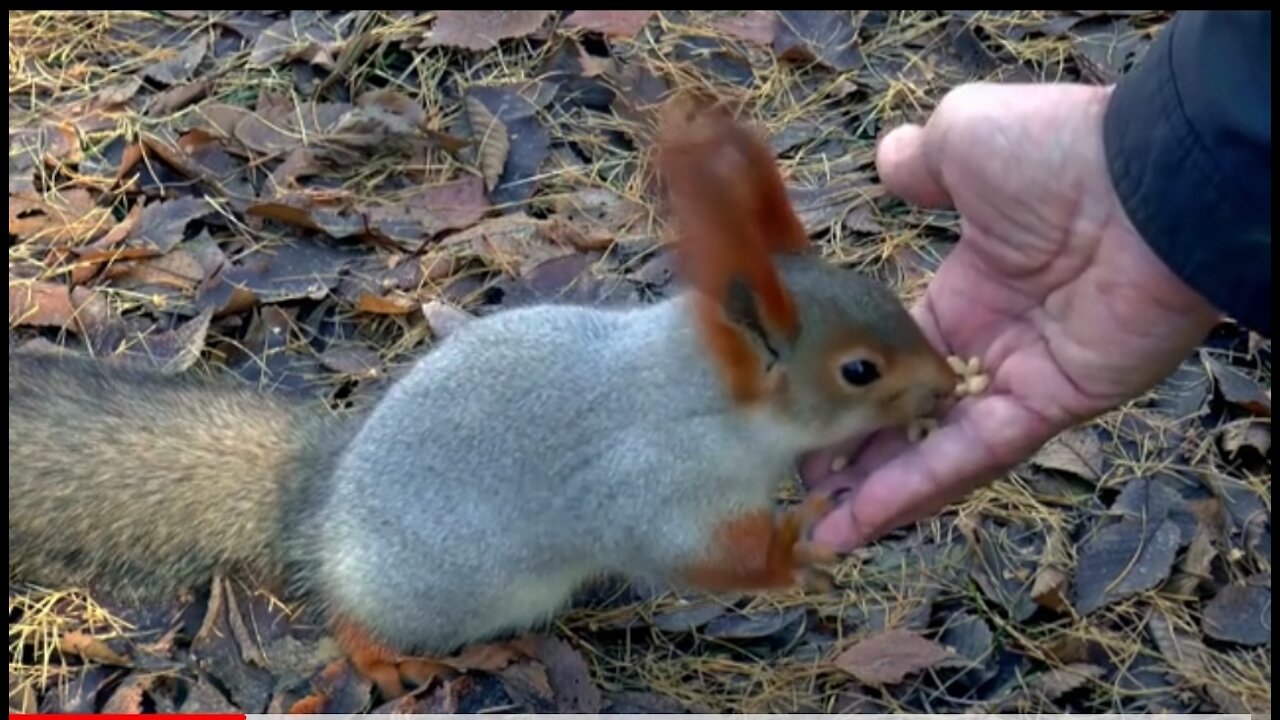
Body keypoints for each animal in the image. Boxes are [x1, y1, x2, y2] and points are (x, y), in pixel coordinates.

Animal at [7, 90, 952, 702]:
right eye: (858, 370)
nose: (947, 387)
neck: (702, 398)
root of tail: (319, 506)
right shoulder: (644, 486)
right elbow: (687, 553)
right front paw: (795, 551)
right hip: (437, 590)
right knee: (353, 616)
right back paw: (385, 658)